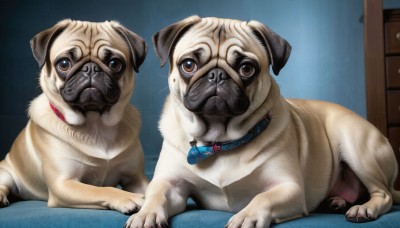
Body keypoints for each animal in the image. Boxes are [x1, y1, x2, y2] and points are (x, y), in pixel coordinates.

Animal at [0, 19, 148, 214]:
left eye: (115, 63)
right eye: (64, 63)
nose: (91, 68)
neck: (95, 123)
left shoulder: (136, 178)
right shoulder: (63, 184)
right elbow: (102, 190)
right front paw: (127, 197)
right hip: (5, 173)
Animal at [127, 15, 400, 227]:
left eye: (247, 68)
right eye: (188, 64)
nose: (217, 75)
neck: (219, 141)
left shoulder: (289, 187)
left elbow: (262, 198)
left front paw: (246, 216)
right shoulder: (170, 184)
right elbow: (155, 195)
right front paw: (145, 214)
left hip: (356, 146)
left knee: (384, 195)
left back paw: (364, 209)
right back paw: (338, 201)